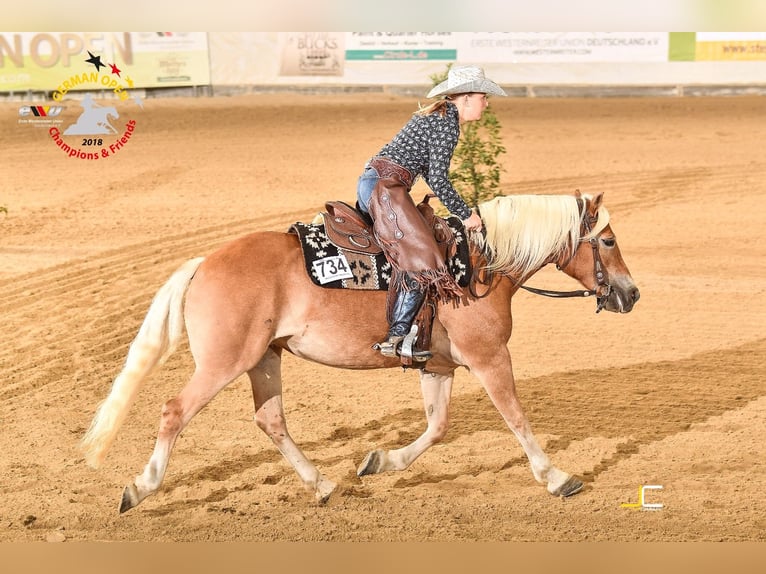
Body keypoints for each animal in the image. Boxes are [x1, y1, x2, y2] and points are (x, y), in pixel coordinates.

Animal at [79, 191, 640, 516]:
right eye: (609, 240)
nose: (631, 294)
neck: (478, 267)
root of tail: (204, 263)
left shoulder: (437, 367)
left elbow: (436, 427)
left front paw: (380, 460)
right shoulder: (489, 359)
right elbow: (518, 419)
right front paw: (558, 478)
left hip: (265, 359)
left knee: (271, 420)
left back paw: (323, 485)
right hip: (224, 363)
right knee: (174, 412)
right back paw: (140, 488)